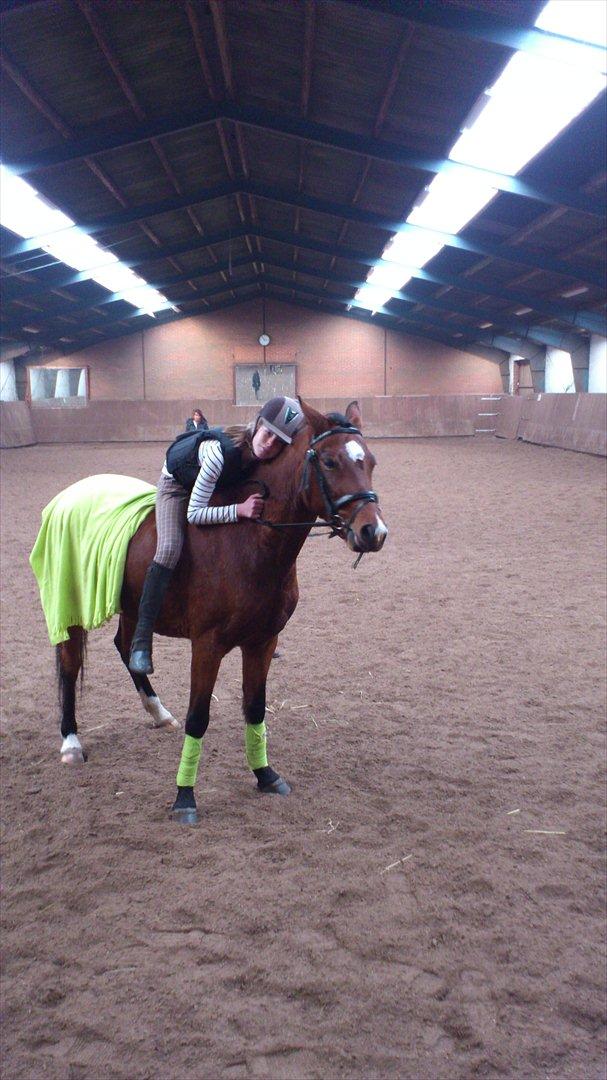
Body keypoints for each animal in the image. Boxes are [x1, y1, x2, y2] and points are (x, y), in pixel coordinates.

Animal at [54, 399, 387, 822]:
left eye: (370, 461)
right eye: (329, 462)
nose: (373, 532)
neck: (250, 539)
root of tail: (72, 493)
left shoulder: (262, 642)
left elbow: (256, 709)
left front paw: (265, 775)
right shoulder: (207, 645)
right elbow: (199, 718)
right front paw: (184, 796)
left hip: (131, 606)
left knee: (127, 648)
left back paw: (157, 711)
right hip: (70, 603)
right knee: (69, 665)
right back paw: (71, 742)